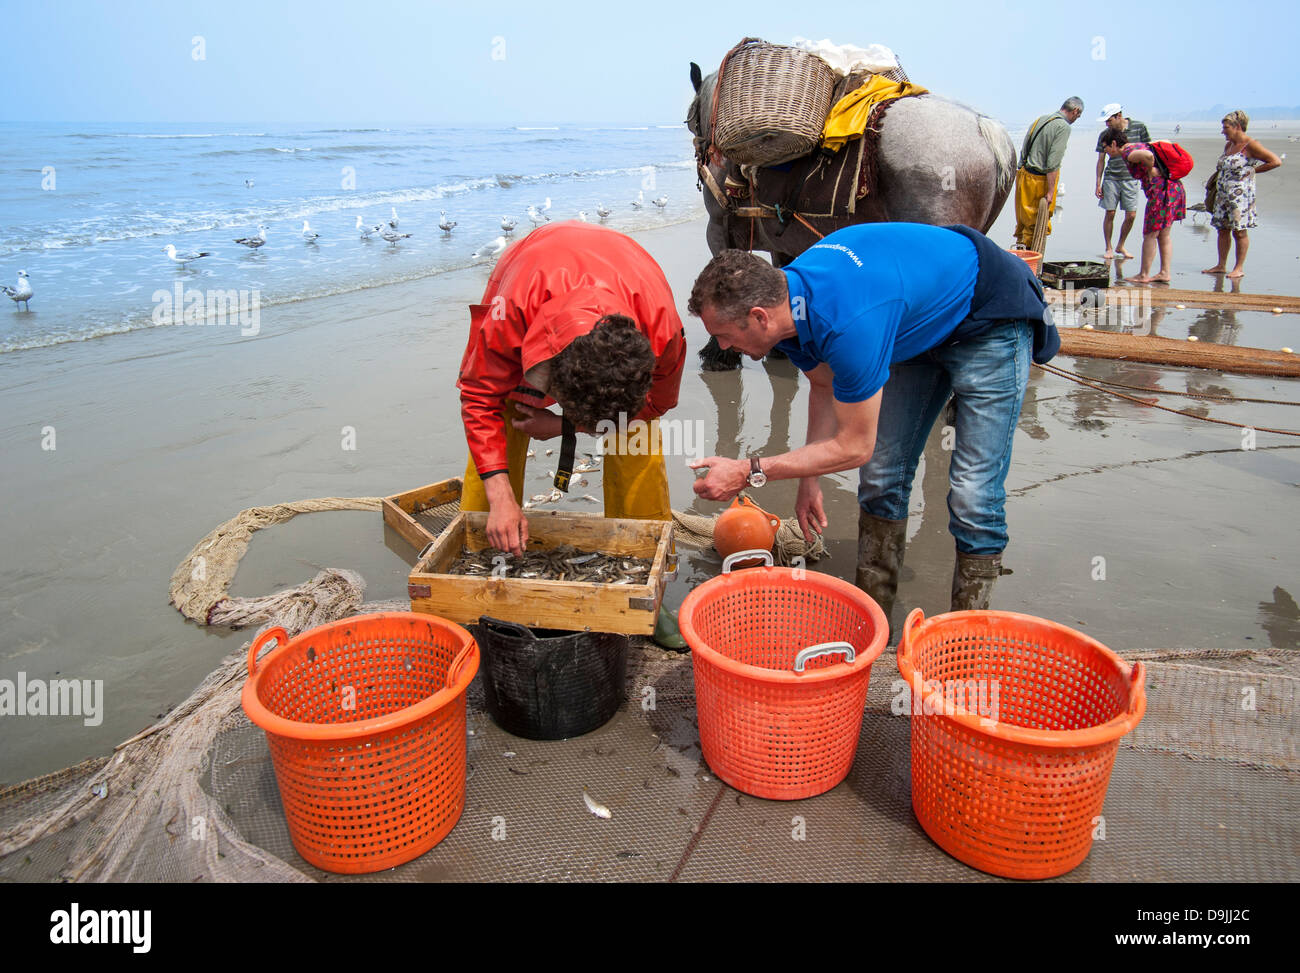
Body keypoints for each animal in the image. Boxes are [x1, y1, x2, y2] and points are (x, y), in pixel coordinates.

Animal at [686, 60, 1017, 368]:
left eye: (692, 119)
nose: (702, 153)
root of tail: (984, 128)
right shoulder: (780, 239)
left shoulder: (718, 229)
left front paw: (719, 354)